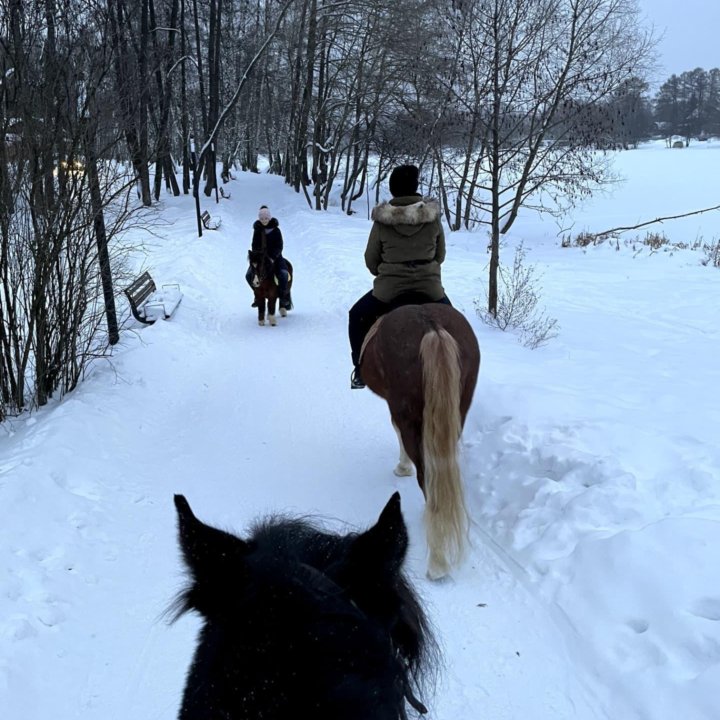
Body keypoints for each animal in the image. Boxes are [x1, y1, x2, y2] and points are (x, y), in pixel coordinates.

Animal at [358, 302, 480, 580]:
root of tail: (432, 328)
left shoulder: (395, 408)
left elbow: (396, 431)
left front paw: (402, 468)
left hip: (408, 411)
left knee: (427, 475)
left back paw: (438, 562)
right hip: (458, 409)